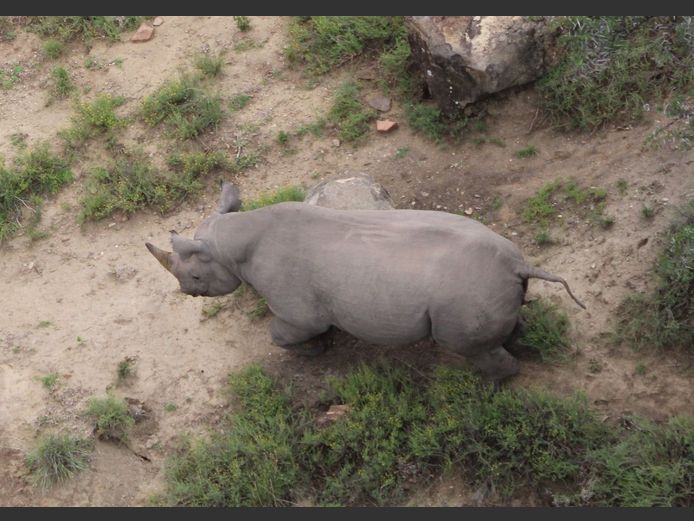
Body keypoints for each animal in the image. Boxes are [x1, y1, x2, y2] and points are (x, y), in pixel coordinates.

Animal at [146, 183, 584, 382]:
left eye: (195, 276)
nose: (187, 291)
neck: (230, 242)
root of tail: (519, 266)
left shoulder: (298, 312)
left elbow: (282, 335)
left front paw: (316, 350)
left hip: (465, 297)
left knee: (467, 346)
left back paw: (484, 387)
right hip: (490, 284)